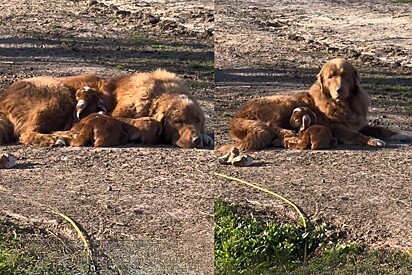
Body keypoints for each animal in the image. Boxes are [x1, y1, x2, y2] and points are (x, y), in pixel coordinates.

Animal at [229, 58, 412, 152]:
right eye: (331, 77)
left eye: (345, 75)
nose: (339, 90)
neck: (345, 104)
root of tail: (237, 116)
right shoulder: (336, 127)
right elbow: (357, 135)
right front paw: (373, 141)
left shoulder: (359, 123)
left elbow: (380, 128)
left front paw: (400, 134)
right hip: (283, 103)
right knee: (270, 125)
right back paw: (288, 134)